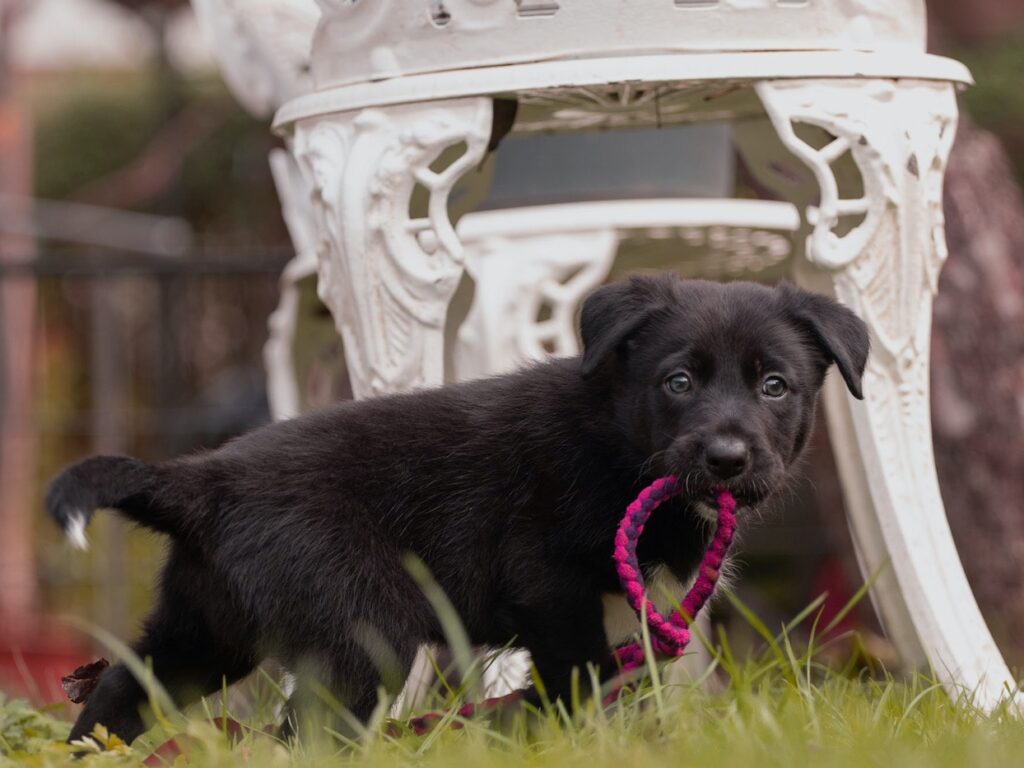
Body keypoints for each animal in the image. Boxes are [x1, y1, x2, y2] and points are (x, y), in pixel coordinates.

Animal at [44, 274, 868, 745]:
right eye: (678, 382)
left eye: (774, 386)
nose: (727, 459)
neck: (616, 440)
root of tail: (200, 481)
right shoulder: (548, 585)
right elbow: (579, 681)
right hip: (364, 626)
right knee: (305, 733)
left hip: (208, 628)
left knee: (124, 687)